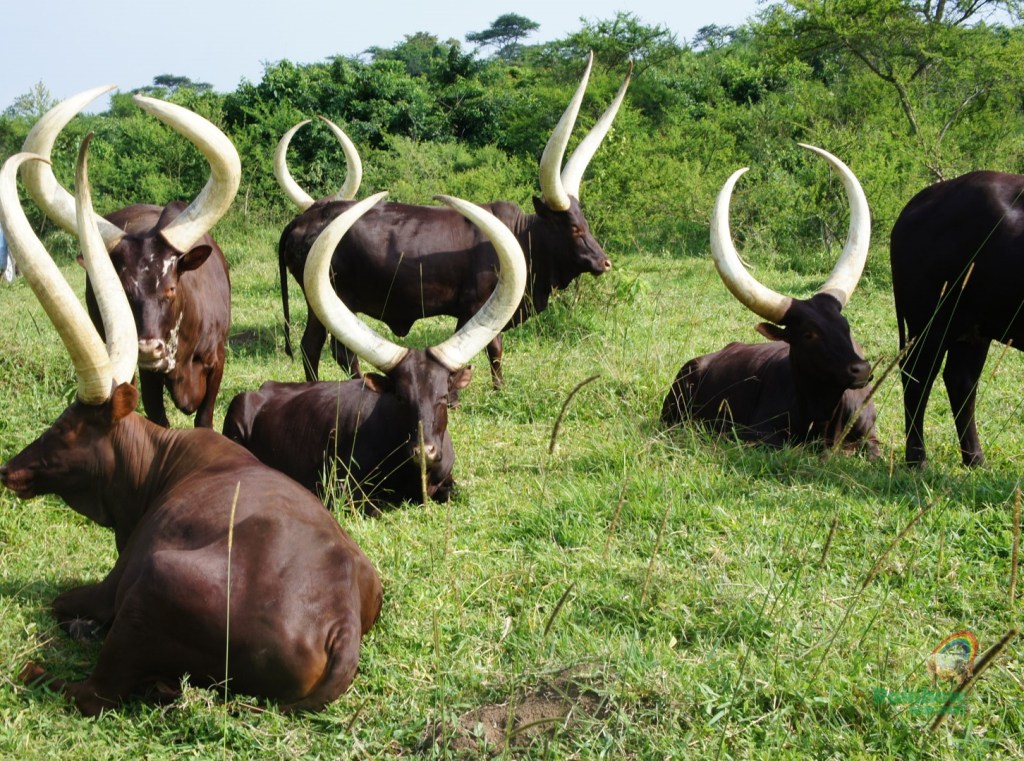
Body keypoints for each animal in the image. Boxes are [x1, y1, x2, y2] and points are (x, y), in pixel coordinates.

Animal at [0, 142, 381, 716]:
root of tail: (341, 625)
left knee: (92, 690)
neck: (159, 466)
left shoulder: (113, 582)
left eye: (66, 428)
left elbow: (61, 600)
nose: (10, 469)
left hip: (150, 588)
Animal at [20, 85, 239, 428]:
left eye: (172, 287)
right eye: (123, 290)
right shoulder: (149, 377)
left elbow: (204, 419)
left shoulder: (218, 361)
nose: (148, 349)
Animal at [276, 52, 631, 386]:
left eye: (585, 223)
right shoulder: (476, 308)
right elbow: (493, 349)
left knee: (323, 349)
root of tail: (305, 218)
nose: (604, 262)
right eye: (574, 228)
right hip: (330, 300)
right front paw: (498, 389)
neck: (521, 237)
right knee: (326, 349)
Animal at [662, 144, 880, 455]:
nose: (861, 369)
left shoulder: (872, 439)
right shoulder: (758, 435)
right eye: (808, 334)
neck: (822, 415)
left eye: (846, 326)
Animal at [890, 171, 1024, 467]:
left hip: (973, 328)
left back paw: (975, 458)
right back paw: (917, 458)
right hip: (929, 323)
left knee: (960, 380)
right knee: (918, 376)